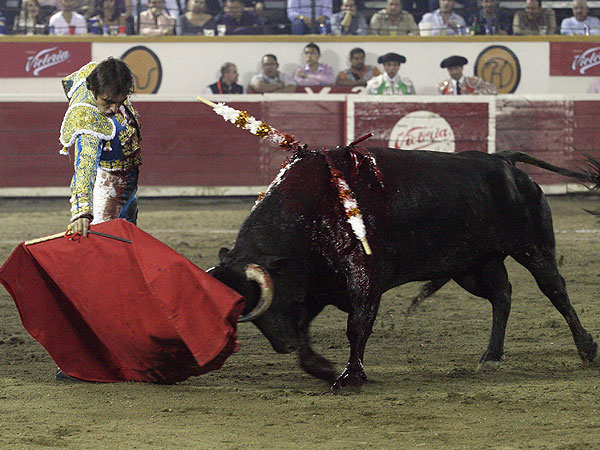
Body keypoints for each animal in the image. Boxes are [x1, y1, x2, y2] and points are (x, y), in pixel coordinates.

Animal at [208, 147, 600, 391]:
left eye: (268, 302)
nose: (282, 345)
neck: (313, 211)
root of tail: (502, 160)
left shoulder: (363, 279)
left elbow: (357, 328)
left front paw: (349, 377)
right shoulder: (316, 288)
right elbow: (307, 338)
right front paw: (324, 368)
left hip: (533, 248)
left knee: (556, 292)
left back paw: (586, 350)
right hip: (473, 265)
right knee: (502, 296)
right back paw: (490, 357)